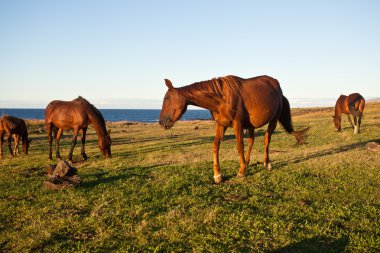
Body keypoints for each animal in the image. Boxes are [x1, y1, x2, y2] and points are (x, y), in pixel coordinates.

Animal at [159, 74, 310, 183]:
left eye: (166, 98)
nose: (161, 122)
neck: (221, 98)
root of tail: (277, 87)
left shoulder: (238, 124)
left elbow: (239, 146)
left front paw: (241, 171)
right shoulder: (221, 124)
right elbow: (216, 145)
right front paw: (217, 175)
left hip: (273, 120)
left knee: (266, 140)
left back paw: (266, 163)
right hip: (251, 126)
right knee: (251, 141)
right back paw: (247, 163)